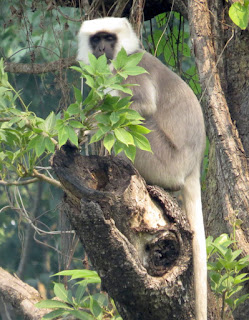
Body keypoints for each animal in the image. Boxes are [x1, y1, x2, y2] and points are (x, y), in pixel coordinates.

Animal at [77, 17, 207, 320]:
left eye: (109, 38)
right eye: (96, 39)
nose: (101, 48)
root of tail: (193, 165)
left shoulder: (130, 70)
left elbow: (142, 107)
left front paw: (90, 124)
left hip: (163, 159)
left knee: (133, 123)